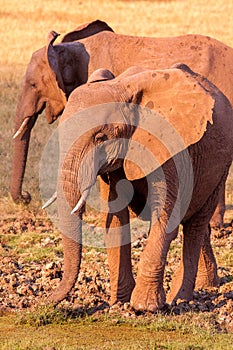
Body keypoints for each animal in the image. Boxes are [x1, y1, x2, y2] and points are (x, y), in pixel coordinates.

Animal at [45, 63, 233, 312]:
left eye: (101, 137)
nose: (47, 302)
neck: (122, 89)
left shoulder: (168, 146)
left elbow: (166, 218)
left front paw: (144, 307)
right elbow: (115, 218)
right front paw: (119, 302)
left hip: (220, 167)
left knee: (195, 224)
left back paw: (180, 299)